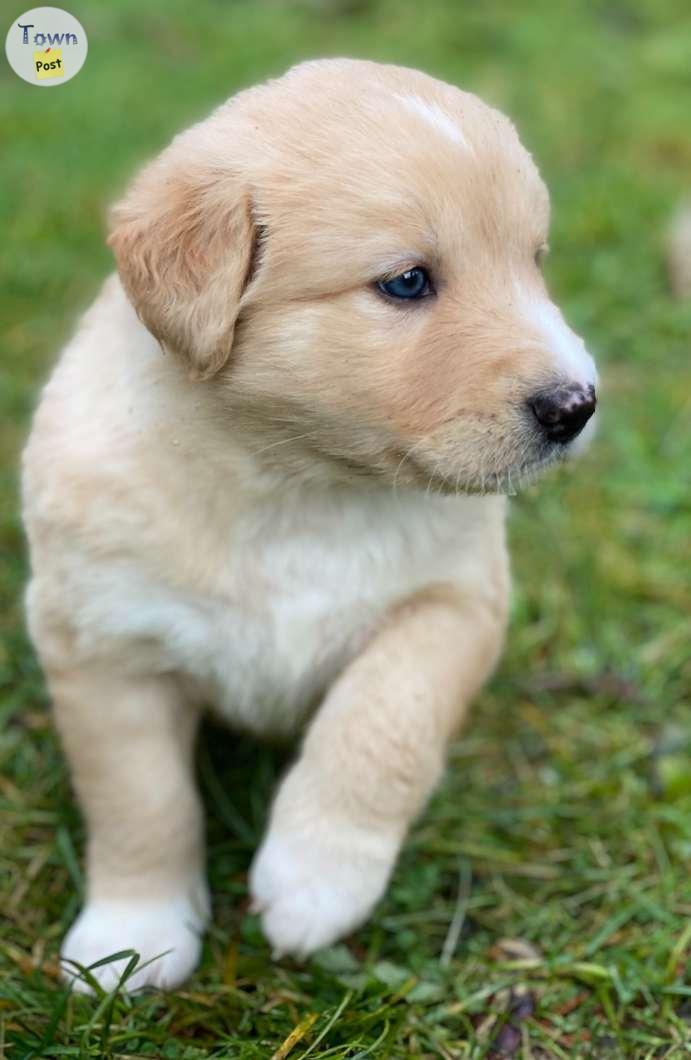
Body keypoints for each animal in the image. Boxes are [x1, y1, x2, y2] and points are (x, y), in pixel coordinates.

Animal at [20, 60, 593, 992]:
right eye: (406, 282)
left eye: (533, 263)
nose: (577, 406)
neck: (294, 485)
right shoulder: (105, 646)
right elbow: (140, 803)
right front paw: (132, 936)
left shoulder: (453, 603)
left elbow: (380, 723)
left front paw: (316, 879)